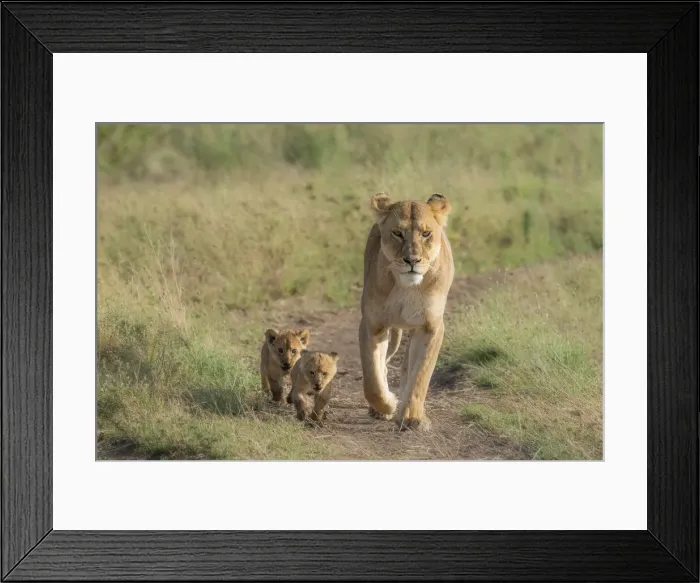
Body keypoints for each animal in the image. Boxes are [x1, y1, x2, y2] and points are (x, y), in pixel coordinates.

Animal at [358, 191, 455, 432]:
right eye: (397, 233)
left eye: (426, 233)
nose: (412, 260)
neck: (407, 287)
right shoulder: (372, 325)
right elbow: (372, 380)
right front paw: (387, 406)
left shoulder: (431, 327)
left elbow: (420, 375)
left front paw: (412, 417)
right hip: (392, 333)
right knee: (383, 366)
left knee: (405, 368)